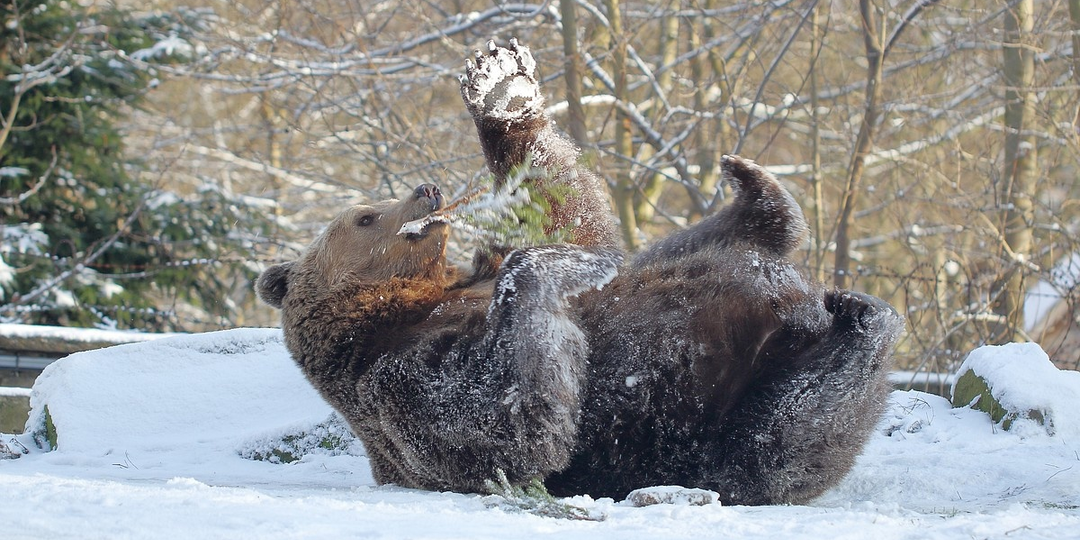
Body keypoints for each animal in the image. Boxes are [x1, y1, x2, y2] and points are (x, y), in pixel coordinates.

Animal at [254, 39, 902, 503]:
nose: (425, 190)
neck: (403, 306)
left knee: (695, 250)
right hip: (729, 404)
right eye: (365, 216)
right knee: (787, 431)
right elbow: (512, 429)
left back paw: (759, 194)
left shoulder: (470, 281)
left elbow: (568, 217)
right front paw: (548, 272)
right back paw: (863, 319)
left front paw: (500, 85)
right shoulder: (402, 382)